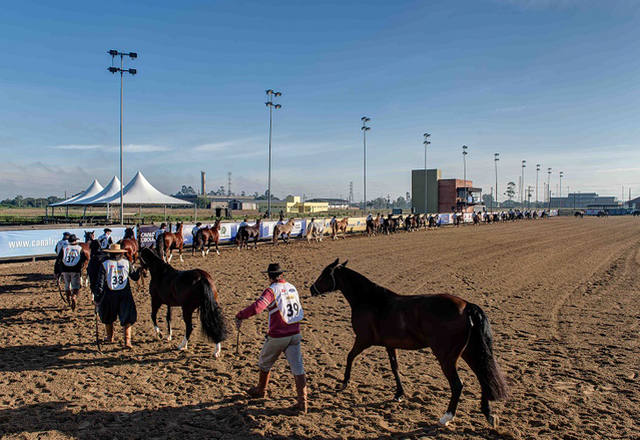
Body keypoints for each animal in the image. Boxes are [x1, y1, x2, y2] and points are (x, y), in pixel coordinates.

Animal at [310, 260, 510, 428]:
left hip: (447, 357)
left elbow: (350, 356)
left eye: (324, 274)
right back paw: (488, 414)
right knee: (482, 377)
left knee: (457, 385)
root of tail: (467, 305)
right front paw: (399, 394)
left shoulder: (363, 340)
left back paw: (446, 417)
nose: (312, 288)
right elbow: (394, 368)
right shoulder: (390, 345)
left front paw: (344, 383)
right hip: (469, 352)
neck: (371, 301)